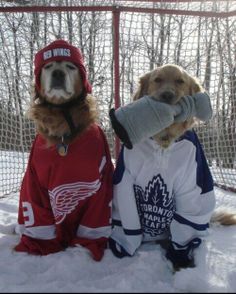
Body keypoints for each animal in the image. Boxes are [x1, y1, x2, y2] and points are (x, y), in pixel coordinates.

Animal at [14, 39, 114, 262]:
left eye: (71, 67)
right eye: (48, 66)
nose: (58, 73)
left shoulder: (100, 184)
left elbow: (94, 221)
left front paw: (83, 250)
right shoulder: (34, 182)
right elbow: (37, 215)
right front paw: (39, 246)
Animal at [109, 63, 236, 270]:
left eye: (180, 81)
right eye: (157, 79)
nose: (167, 95)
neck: (163, 141)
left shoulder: (192, 187)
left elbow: (185, 230)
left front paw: (180, 259)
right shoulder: (124, 181)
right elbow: (128, 224)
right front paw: (123, 248)